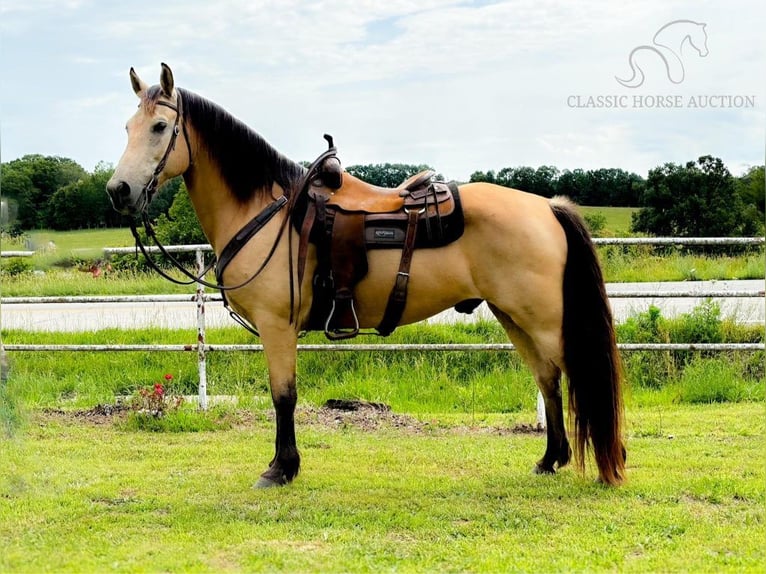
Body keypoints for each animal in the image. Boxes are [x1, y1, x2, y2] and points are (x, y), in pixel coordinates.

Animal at [105, 63, 628, 488]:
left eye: (160, 126)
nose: (118, 190)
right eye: (126, 127)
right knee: (548, 378)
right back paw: (550, 459)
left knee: (576, 374)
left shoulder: (277, 327)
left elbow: (283, 396)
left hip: (544, 319)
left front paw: (281, 469)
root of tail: (547, 206)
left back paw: (610, 459)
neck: (268, 213)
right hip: (514, 316)